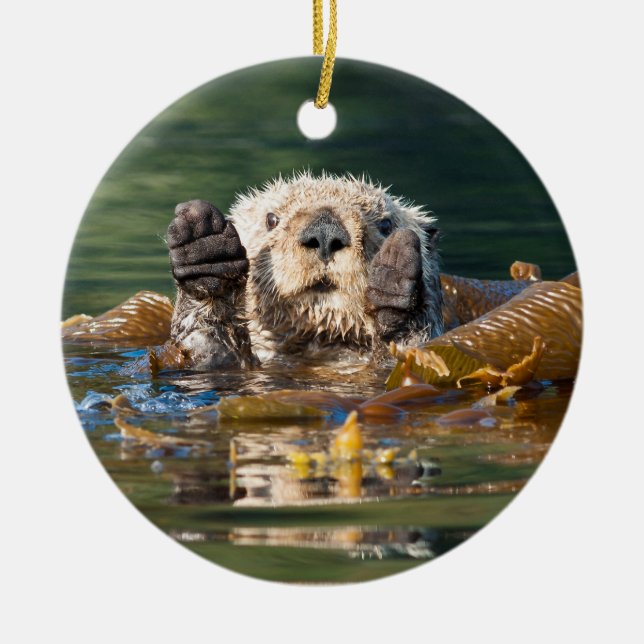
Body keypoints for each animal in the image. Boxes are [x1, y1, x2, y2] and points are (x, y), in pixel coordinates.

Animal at [167, 172, 443, 369]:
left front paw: (394, 285)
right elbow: (206, 348)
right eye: (271, 219)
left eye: (386, 224)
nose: (325, 232)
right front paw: (205, 249)